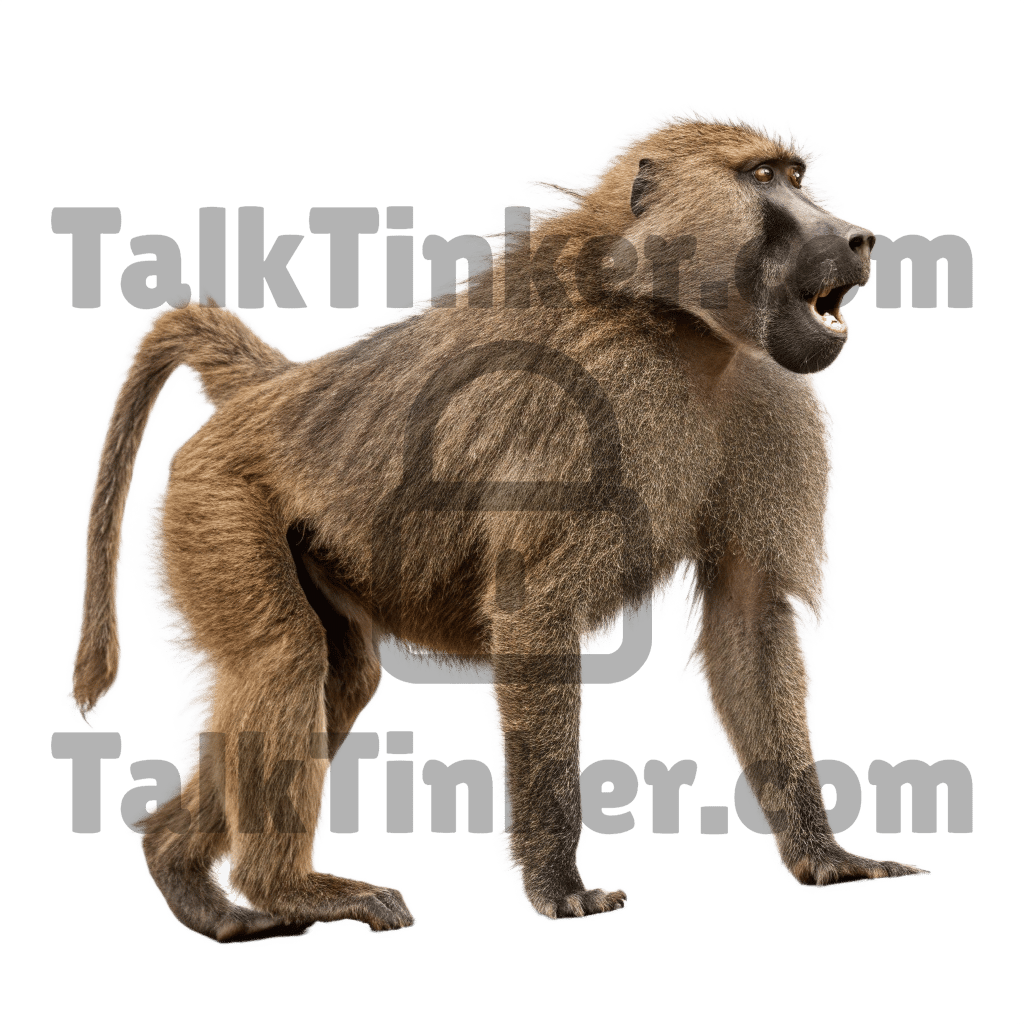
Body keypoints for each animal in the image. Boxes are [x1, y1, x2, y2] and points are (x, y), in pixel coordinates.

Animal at [66, 106, 929, 944]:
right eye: (761, 179)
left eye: (795, 176)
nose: (858, 238)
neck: (676, 327)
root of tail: (270, 393)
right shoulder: (585, 408)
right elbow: (537, 614)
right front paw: (560, 889)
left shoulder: (763, 394)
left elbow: (750, 619)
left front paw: (827, 856)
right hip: (218, 505)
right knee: (283, 662)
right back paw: (286, 889)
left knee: (334, 676)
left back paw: (192, 878)